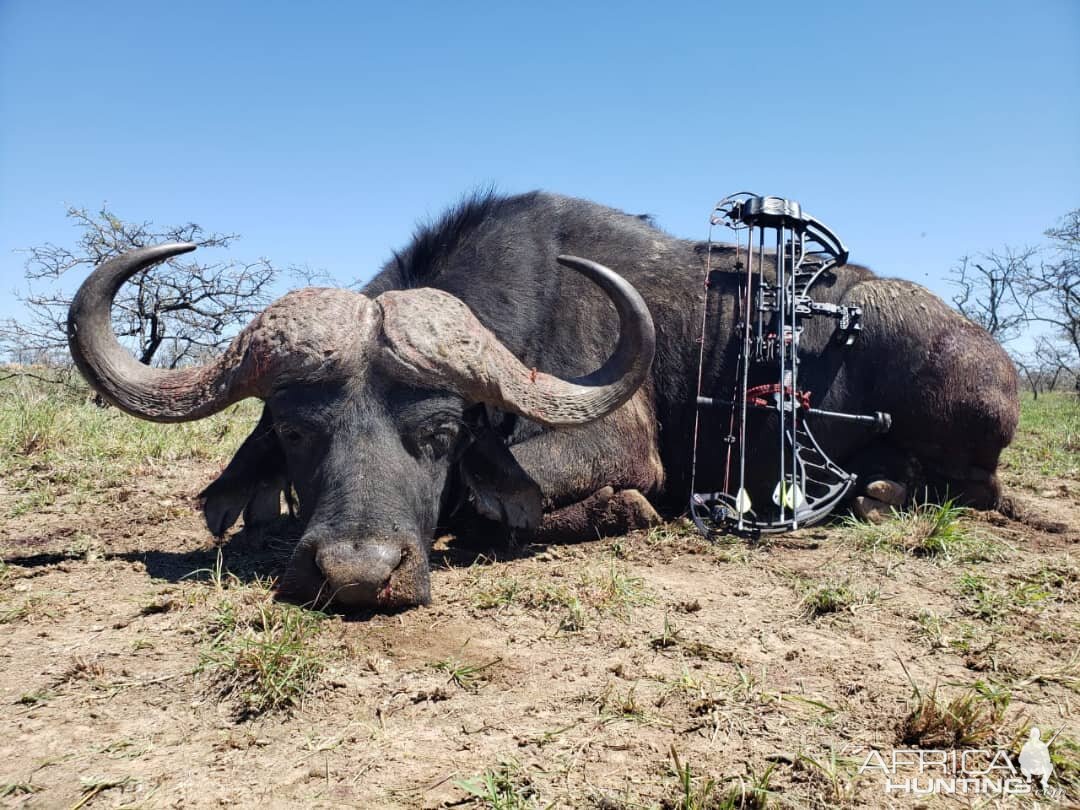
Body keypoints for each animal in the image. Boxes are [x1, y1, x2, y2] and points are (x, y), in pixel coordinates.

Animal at [69, 190, 1019, 609]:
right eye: (298, 432)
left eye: (441, 432)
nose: (358, 577)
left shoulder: (621, 448)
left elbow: (488, 505)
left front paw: (622, 511)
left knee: (975, 488)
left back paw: (883, 492)